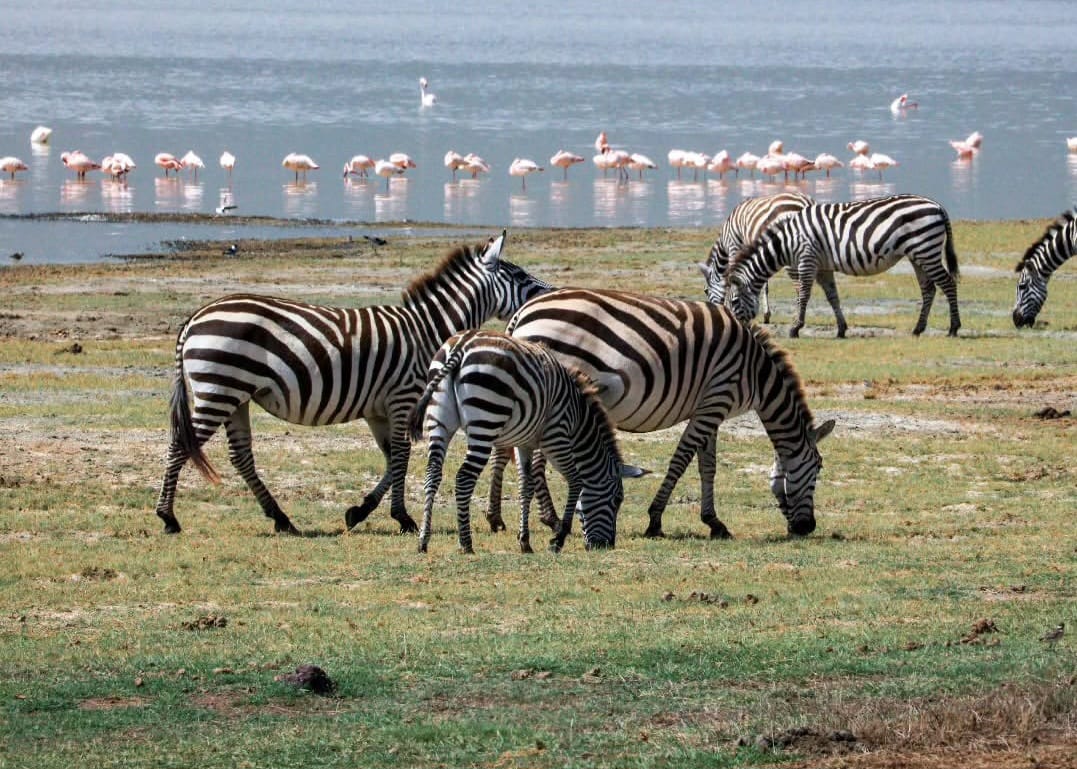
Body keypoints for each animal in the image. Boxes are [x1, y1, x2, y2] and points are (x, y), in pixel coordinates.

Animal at [153, 231, 552, 535]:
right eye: (520, 277)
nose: (548, 294)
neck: (426, 330)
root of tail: (195, 318)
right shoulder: (403, 397)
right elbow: (402, 456)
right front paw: (402, 518)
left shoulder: (378, 410)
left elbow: (392, 459)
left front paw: (359, 512)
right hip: (218, 390)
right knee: (180, 445)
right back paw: (168, 518)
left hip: (235, 396)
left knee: (240, 456)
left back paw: (281, 519)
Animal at [408, 329, 635, 554]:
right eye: (617, 500)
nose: (606, 545)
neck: (579, 419)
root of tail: (461, 345)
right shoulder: (556, 437)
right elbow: (575, 480)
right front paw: (558, 538)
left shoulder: (524, 442)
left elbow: (526, 486)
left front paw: (524, 541)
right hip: (486, 419)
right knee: (464, 478)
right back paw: (466, 543)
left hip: (439, 420)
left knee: (432, 474)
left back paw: (423, 540)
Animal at [486, 289, 835, 539]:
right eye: (818, 468)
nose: (807, 528)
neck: (756, 373)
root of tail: (522, 312)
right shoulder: (716, 400)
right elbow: (681, 460)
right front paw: (655, 520)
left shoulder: (710, 407)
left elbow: (707, 466)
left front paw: (713, 521)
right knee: (534, 458)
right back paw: (552, 519)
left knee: (511, 451)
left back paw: (508, 517)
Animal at [699, 191, 813, 322]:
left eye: (706, 290)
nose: (715, 311)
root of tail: (805, 201)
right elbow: (763, 284)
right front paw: (766, 314)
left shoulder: (734, 248)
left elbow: (731, 278)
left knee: (799, 285)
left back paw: (797, 317)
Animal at [725, 194, 961, 338]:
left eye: (734, 301)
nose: (736, 330)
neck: (786, 241)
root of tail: (937, 205)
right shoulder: (823, 267)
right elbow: (833, 297)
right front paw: (841, 329)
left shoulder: (807, 259)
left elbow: (804, 295)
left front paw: (795, 328)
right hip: (918, 255)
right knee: (929, 289)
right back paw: (918, 329)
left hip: (926, 250)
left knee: (948, 283)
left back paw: (953, 328)